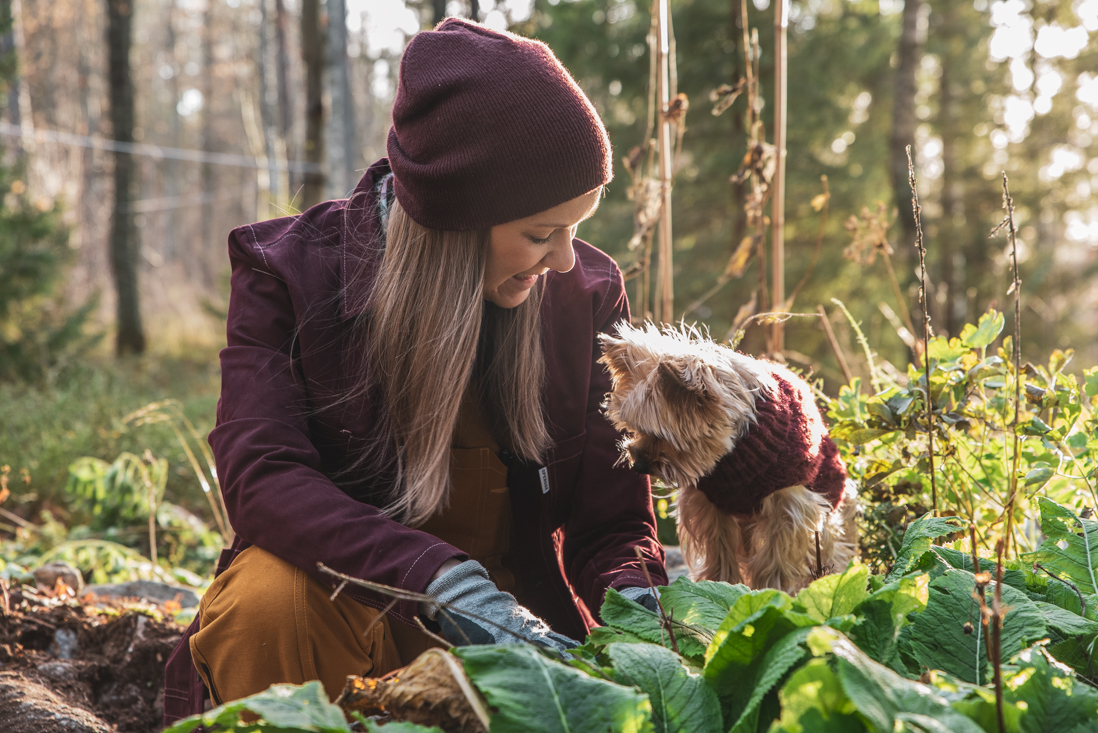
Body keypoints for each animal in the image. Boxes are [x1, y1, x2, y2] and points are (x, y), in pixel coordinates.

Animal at [601, 322, 856, 592]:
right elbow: (720, 553)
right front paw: (721, 585)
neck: (735, 452)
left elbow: (775, 559)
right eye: (635, 429)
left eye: (660, 436)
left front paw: (771, 591)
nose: (638, 465)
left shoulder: (788, 507)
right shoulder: (710, 506)